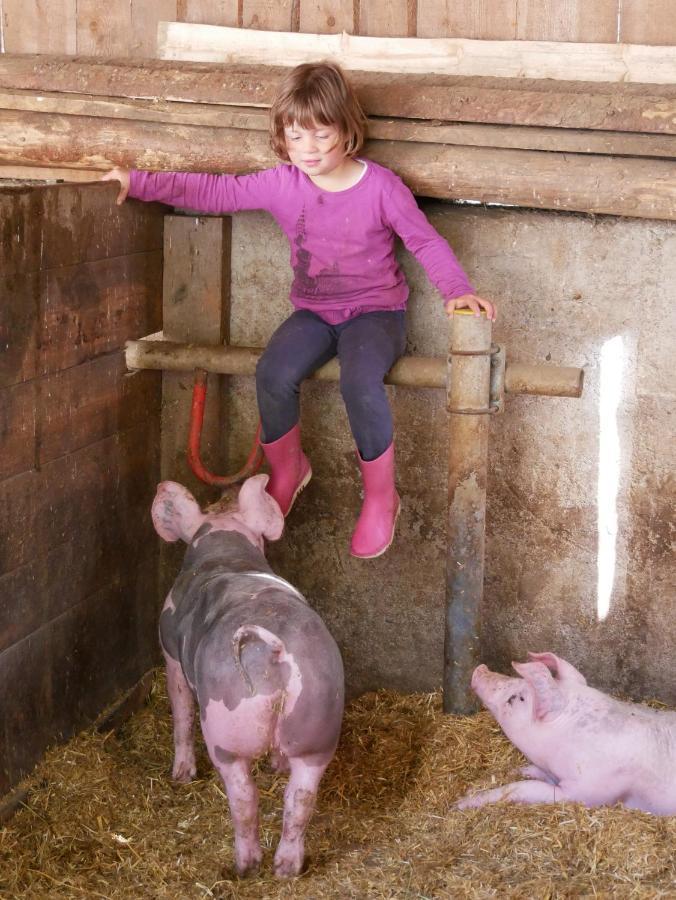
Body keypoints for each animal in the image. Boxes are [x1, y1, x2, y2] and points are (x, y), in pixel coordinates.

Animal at [151, 474, 346, 876]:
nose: (224, 491)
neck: (225, 551)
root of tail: (276, 650)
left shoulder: (170, 652)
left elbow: (180, 711)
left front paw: (181, 774)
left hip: (225, 727)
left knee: (243, 795)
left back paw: (246, 865)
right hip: (319, 718)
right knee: (299, 796)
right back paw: (286, 868)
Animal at [454, 652, 676, 820]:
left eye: (516, 698)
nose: (481, 668)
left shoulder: (587, 790)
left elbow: (524, 787)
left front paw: (460, 804)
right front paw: (514, 770)